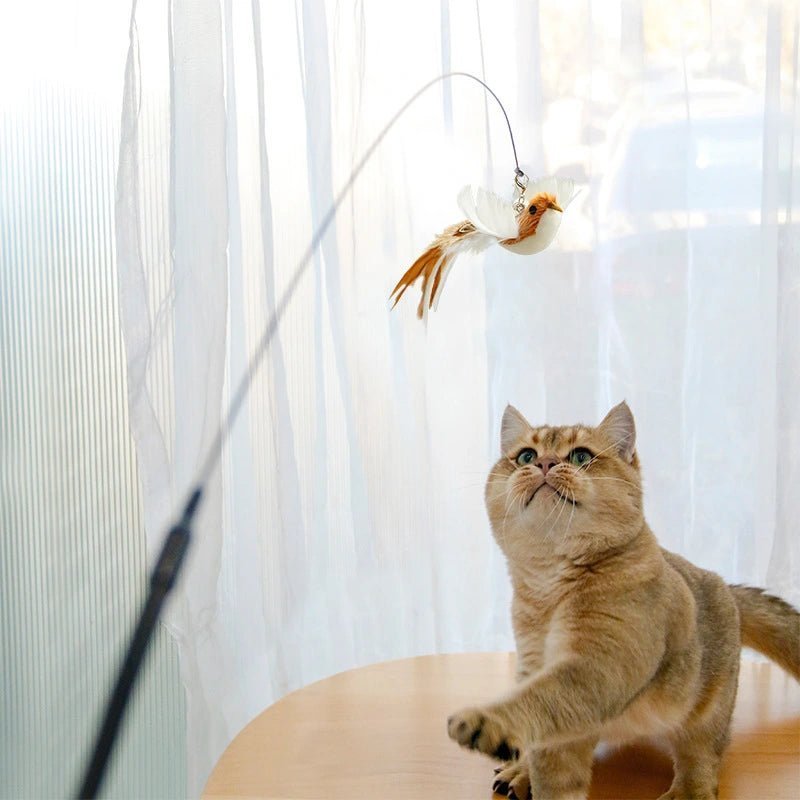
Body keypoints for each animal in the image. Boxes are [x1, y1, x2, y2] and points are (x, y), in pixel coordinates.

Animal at [446, 404, 796, 796]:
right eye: (525, 456)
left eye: (580, 456)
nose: (545, 463)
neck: (551, 585)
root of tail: (726, 586)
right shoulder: (534, 664)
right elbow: (551, 752)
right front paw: (529, 770)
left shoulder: (600, 666)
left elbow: (542, 700)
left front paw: (488, 721)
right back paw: (519, 771)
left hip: (710, 708)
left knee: (702, 753)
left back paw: (688, 790)